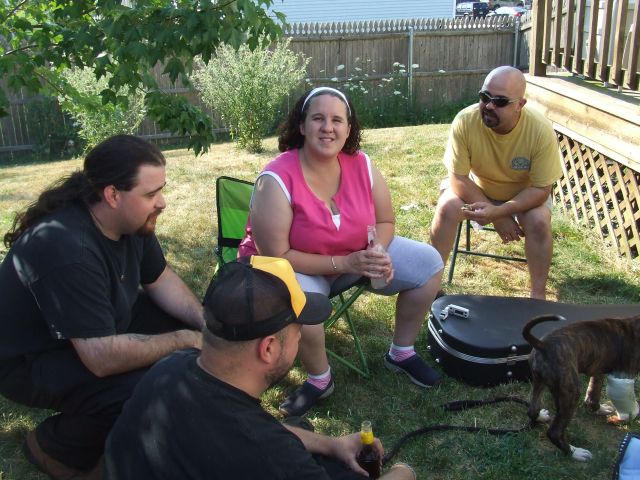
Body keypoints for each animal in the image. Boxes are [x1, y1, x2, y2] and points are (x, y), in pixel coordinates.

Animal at [523, 314, 640, 461]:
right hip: (571, 392)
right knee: (554, 432)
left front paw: (600, 409)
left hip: (539, 382)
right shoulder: (624, 375)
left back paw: (541, 417)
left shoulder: (598, 369)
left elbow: (593, 394)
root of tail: (543, 345)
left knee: (532, 410)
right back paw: (575, 452)